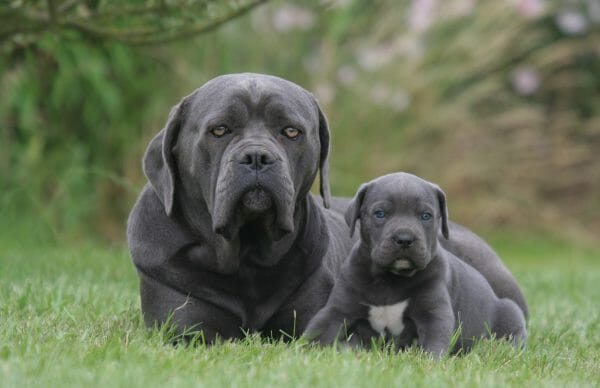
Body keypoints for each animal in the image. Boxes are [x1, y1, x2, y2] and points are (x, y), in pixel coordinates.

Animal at [304, 174, 524, 356]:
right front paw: (301, 353)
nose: (404, 239)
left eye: (426, 215)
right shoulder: (338, 309)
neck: (390, 279)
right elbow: (318, 330)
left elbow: (434, 343)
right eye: (380, 213)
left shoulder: (434, 314)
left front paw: (430, 364)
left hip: (511, 314)